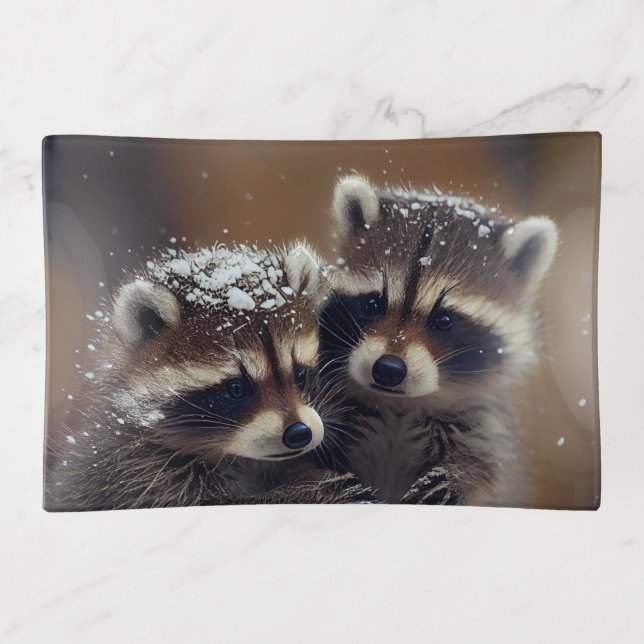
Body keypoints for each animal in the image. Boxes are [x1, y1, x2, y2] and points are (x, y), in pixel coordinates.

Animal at [318, 176, 558, 505]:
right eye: (373, 304)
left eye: (444, 320)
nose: (388, 369)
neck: (399, 406)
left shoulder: (483, 424)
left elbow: (490, 468)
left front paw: (459, 475)